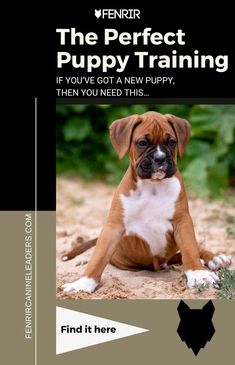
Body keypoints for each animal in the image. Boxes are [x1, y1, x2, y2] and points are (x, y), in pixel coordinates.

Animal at [61, 111, 231, 292]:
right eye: (142, 143)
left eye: (172, 142)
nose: (160, 158)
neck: (153, 186)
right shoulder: (114, 227)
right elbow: (98, 258)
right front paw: (83, 283)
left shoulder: (182, 221)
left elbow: (190, 248)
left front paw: (199, 274)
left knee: (192, 249)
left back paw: (215, 258)